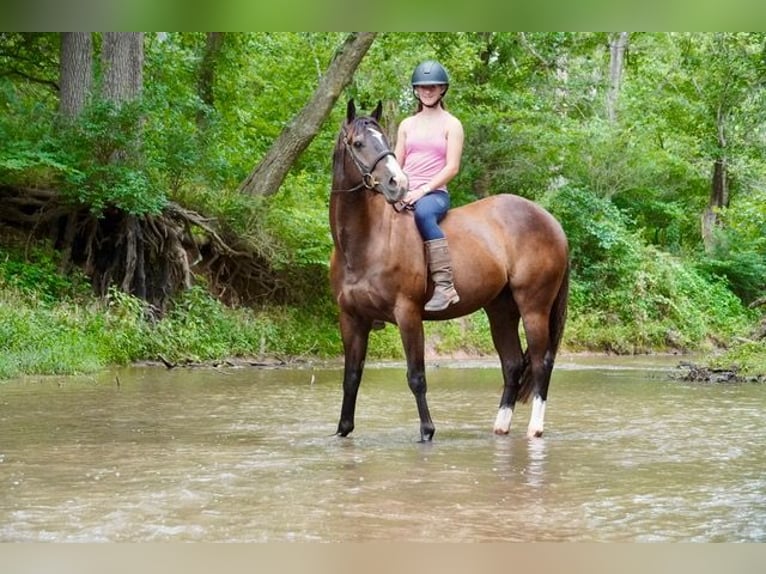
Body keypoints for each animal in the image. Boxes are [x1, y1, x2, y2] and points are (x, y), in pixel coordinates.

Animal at [330, 100, 569, 441]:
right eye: (359, 143)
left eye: (385, 141)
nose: (397, 184)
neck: (364, 243)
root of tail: (551, 222)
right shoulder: (351, 318)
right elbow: (351, 376)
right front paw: (343, 430)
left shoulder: (408, 314)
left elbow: (416, 376)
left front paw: (427, 431)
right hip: (501, 310)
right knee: (512, 364)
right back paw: (501, 426)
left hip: (534, 307)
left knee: (541, 362)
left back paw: (535, 428)